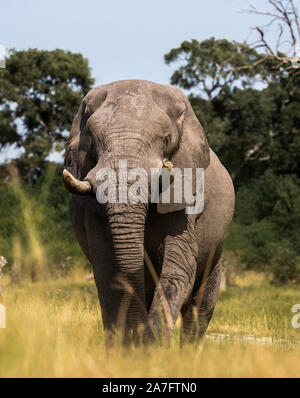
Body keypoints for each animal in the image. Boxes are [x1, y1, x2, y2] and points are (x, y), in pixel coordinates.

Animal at [62, 80, 234, 346]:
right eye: (92, 138)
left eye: (166, 138)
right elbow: (107, 272)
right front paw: (129, 350)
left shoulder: (187, 197)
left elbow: (177, 268)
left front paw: (151, 348)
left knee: (200, 308)